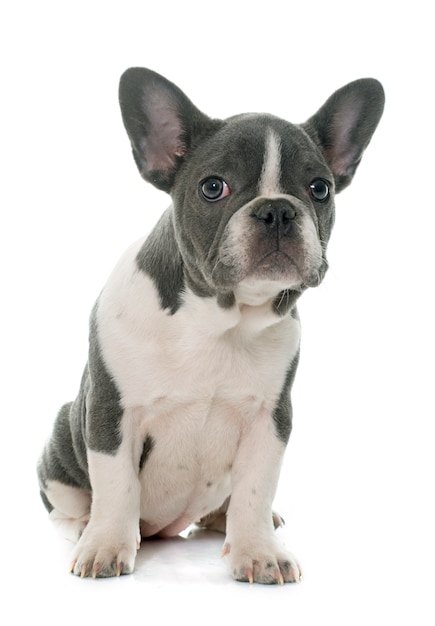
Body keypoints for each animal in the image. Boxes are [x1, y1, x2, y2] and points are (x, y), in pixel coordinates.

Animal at [37, 67, 384, 580]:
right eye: (213, 187)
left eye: (319, 188)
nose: (277, 209)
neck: (219, 319)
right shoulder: (111, 412)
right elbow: (116, 485)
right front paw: (105, 546)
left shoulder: (270, 419)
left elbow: (255, 490)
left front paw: (258, 551)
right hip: (63, 435)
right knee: (68, 506)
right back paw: (85, 529)